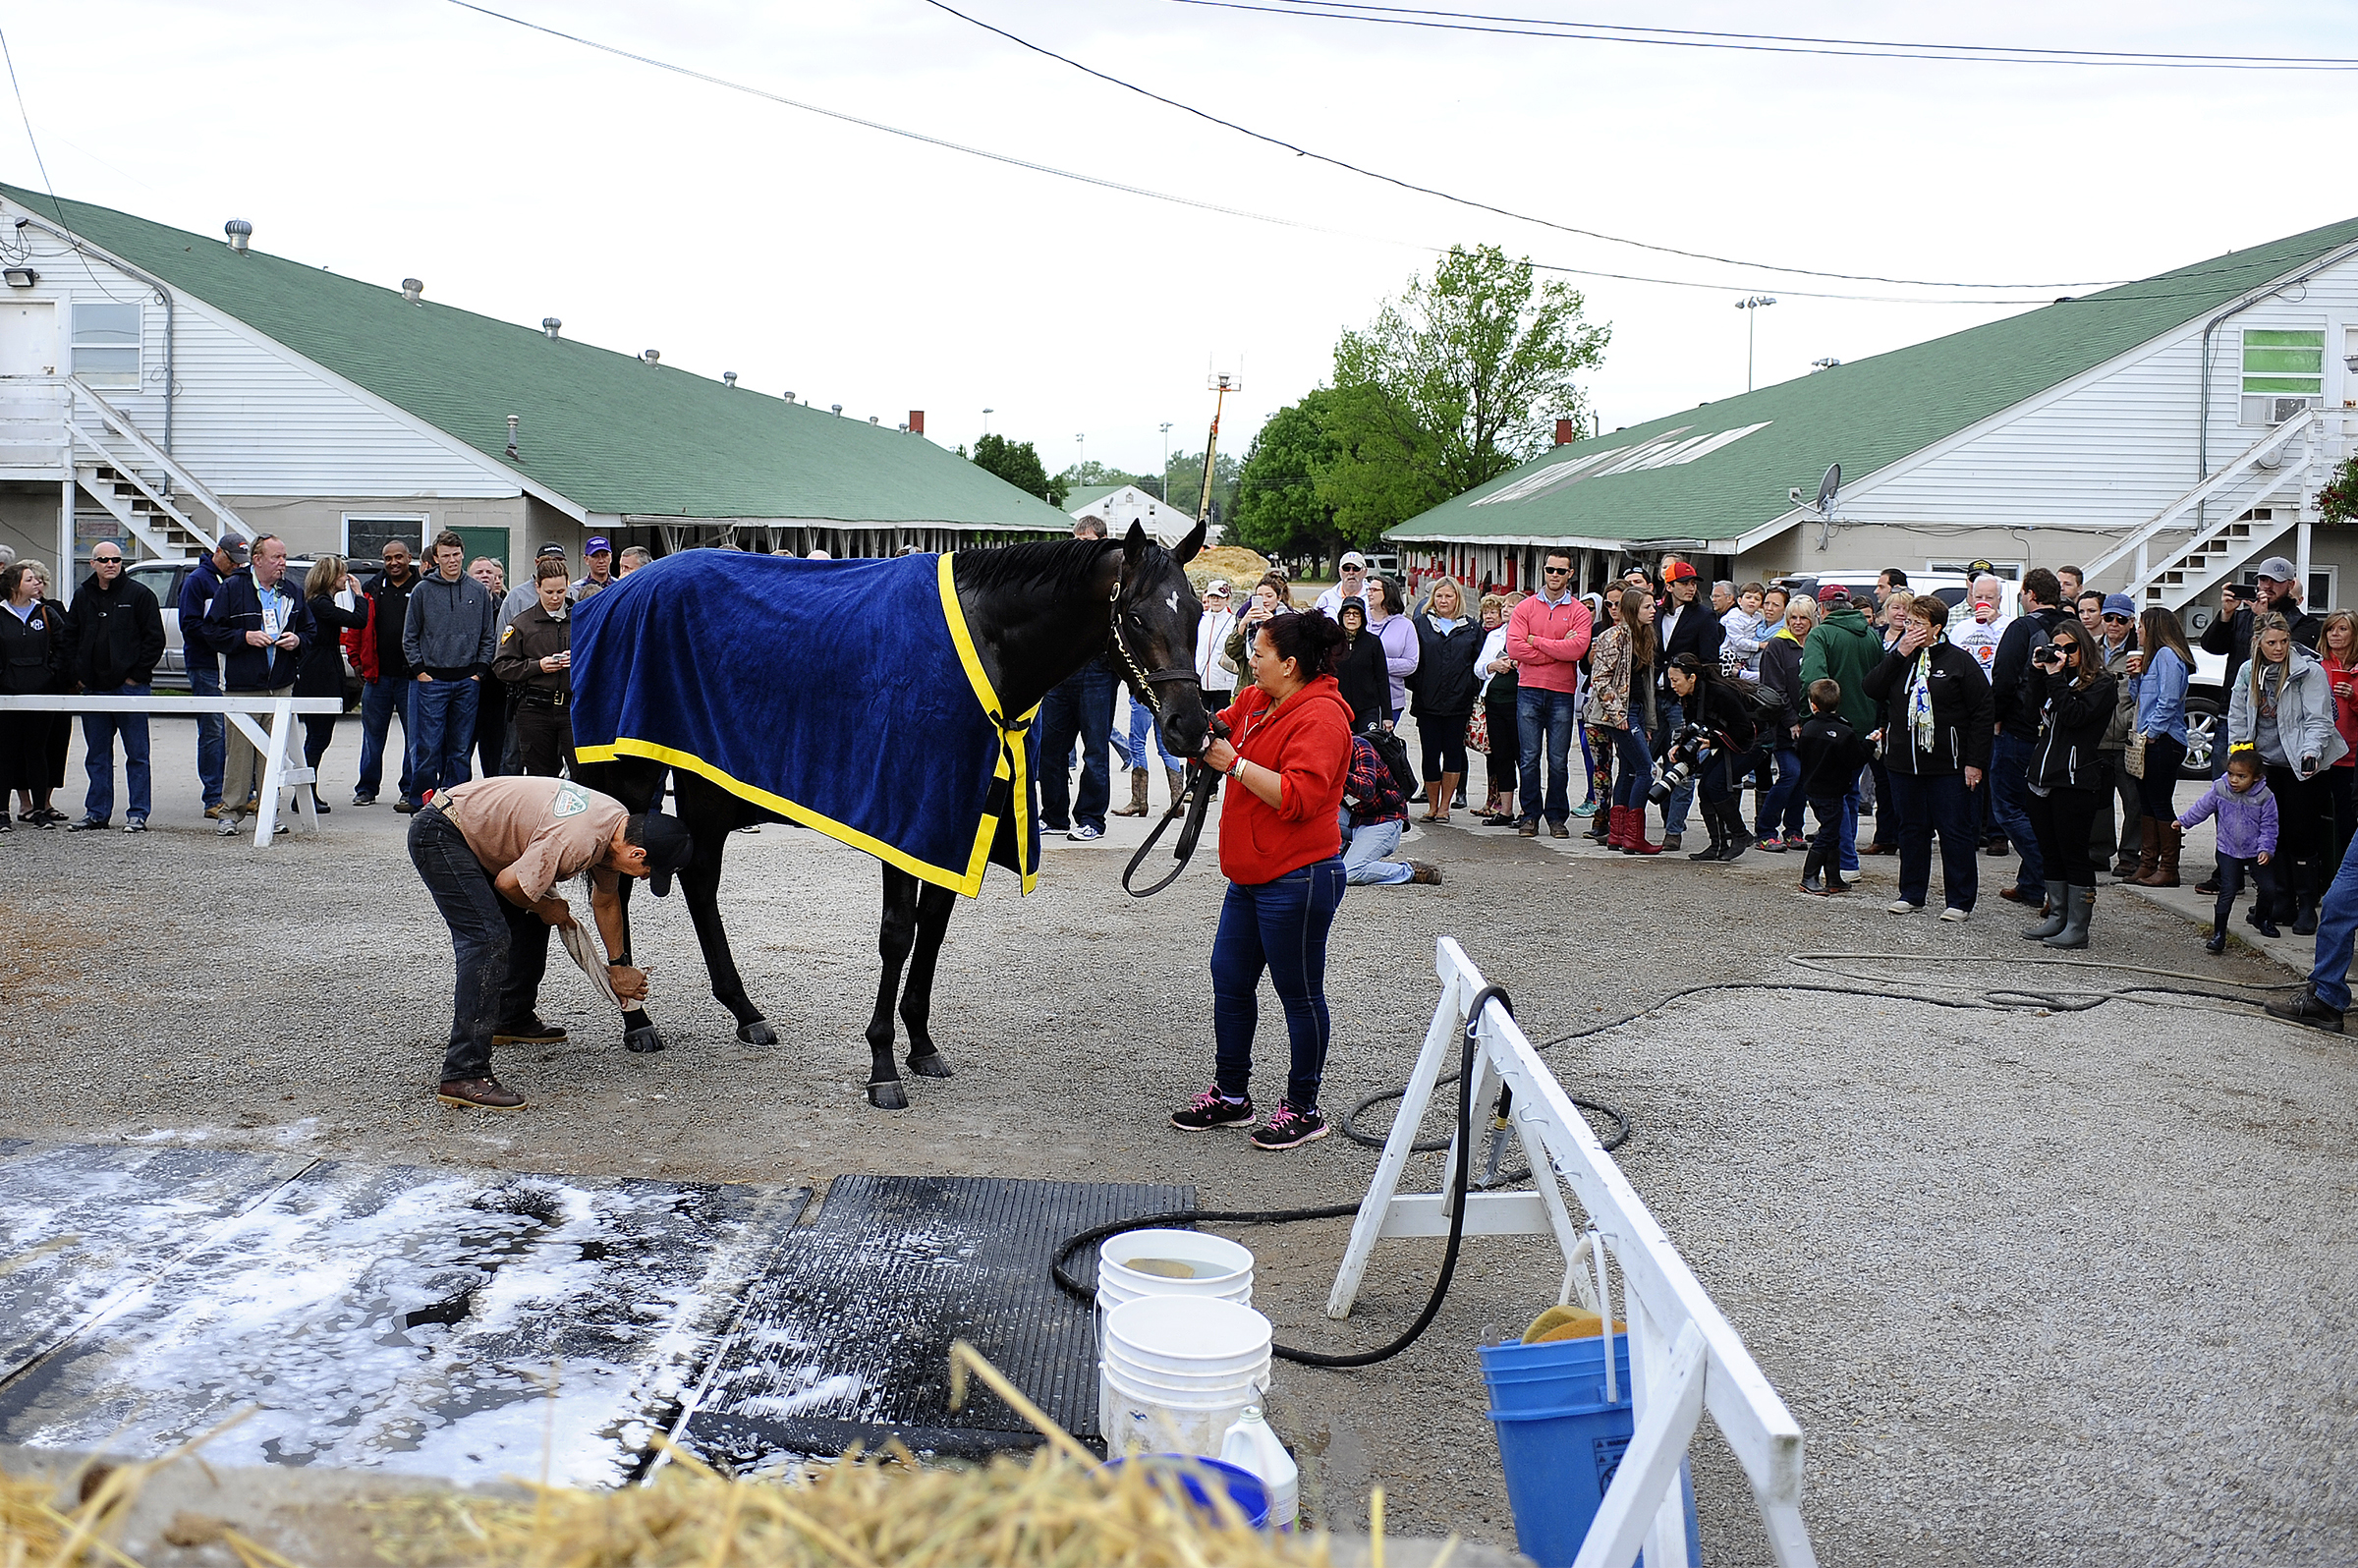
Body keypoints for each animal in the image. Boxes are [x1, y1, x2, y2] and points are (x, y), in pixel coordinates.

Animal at [566, 519, 1198, 1108]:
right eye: (1135, 618)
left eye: (1193, 612)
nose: (1189, 726)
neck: (988, 639)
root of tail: (606, 597)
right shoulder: (908, 818)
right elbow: (898, 934)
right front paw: (883, 1067)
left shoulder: (956, 822)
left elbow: (933, 930)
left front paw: (921, 1046)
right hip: (634, 781)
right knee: (617, 886)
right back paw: (636, 1018)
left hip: (707, 785)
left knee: (699, 882)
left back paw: (744, 1011)